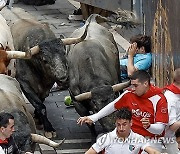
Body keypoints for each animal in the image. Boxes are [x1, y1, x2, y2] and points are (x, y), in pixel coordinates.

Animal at [1, 7, 88, 138]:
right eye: (44, 60)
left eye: (64, 53)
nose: (63, 79)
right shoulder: (24, 84)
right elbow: (40, 105)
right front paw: (48, 128)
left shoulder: (46, 87)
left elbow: (41, 101)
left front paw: (38, 118)